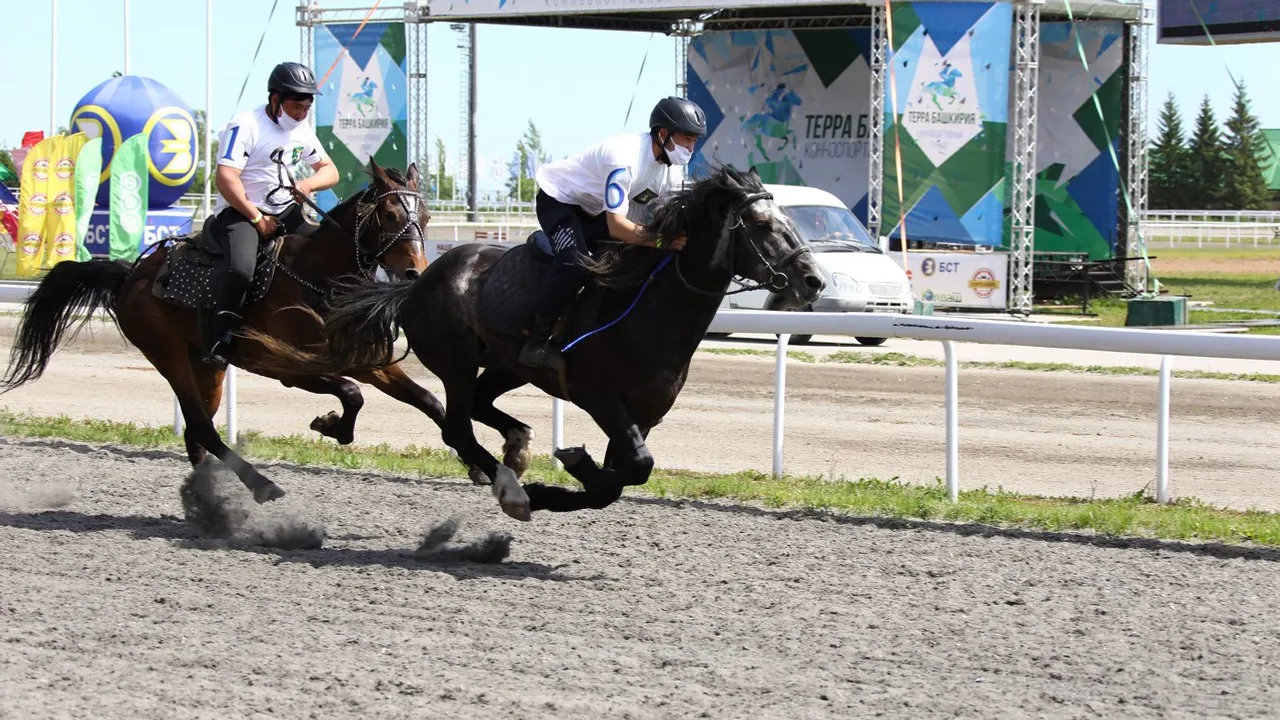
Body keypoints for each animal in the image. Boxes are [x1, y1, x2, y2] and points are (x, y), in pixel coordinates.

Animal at [0, 158, 445, 505]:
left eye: (424, 218)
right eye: (390, 216)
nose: (416, 274)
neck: (319, 277)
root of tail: (131, 276)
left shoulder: (370, 362)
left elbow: (427, 401)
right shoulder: (285, 368)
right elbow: (352, 393)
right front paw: (330, 424)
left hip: (206, 367)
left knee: (197, 435)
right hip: (169, 355)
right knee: (201, 428)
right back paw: (261, 487)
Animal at [244, 165, 826, 522]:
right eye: (760, 223)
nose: (814, 280)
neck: (650, 312)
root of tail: (419, 279)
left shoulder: (644, 414)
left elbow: (620, 478)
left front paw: (569, 469)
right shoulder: (600, 397)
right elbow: (631, 470)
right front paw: (559, 475)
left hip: (507, 364)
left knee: (480, 409)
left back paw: (518, 446)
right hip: (456, 362)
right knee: (457, 425)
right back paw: (507, 483)